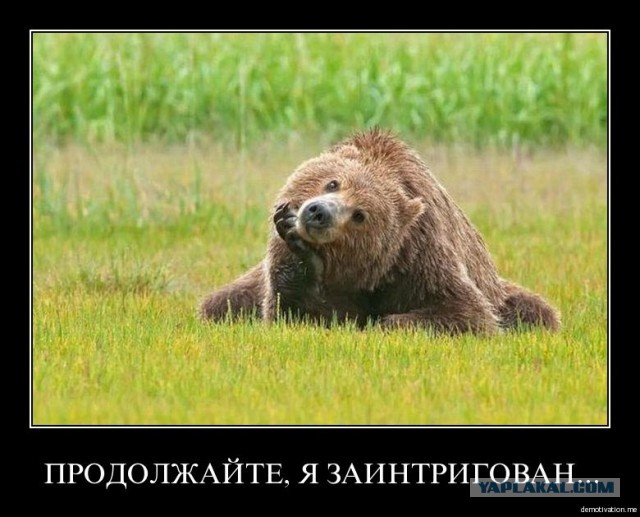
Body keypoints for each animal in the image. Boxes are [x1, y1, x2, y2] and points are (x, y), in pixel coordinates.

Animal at [200, 129, 560, 334]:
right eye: (334, 182)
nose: (318, 213)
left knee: (537, 311)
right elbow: (290, 313)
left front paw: (383, 323)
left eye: (360, 215)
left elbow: (467, 312)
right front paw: (300, 253)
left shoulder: (419, 257)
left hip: (503, 292)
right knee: (219, 302)